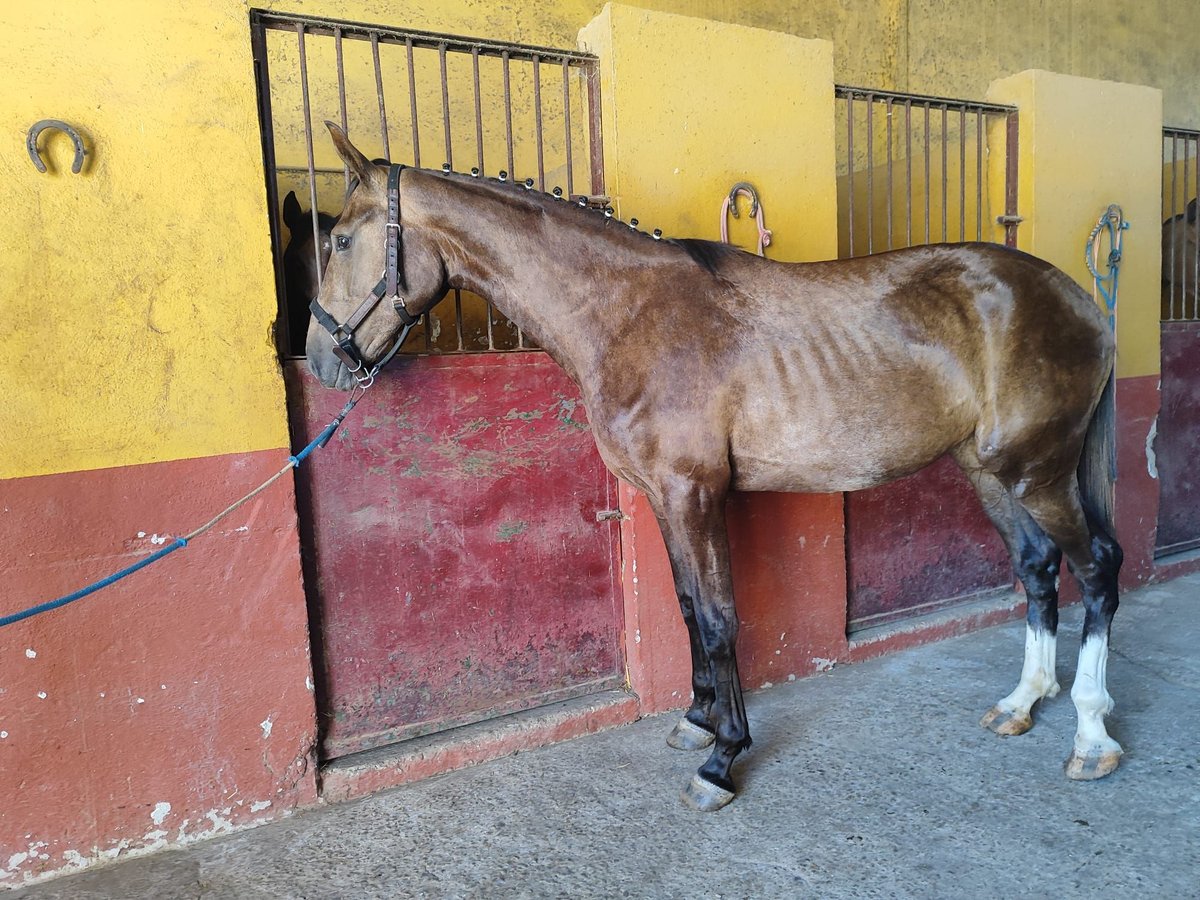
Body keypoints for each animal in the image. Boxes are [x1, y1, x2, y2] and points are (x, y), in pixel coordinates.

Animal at [305, 122, 1123, 811]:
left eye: (340, 240)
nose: (321, 361)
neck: (628, 313)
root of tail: (1084, 302)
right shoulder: (663, 500)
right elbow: (688, 607)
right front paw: (698, 721)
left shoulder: (695, 495)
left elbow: (722, 618)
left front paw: (722, 759)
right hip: (992, 470)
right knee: (1039, 566)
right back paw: (1022, 703)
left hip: (1041, 471)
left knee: (1098, 568)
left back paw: (1091, 737)